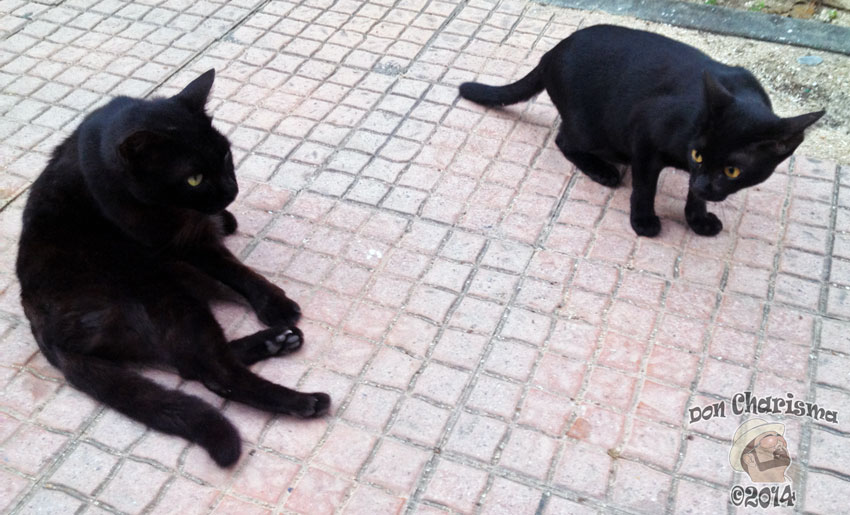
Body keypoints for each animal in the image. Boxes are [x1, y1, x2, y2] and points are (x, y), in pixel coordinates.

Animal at [16, 69, 330, 467]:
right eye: (193, 179)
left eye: (225, 155)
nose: (231, 190)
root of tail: (47, 336)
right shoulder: (185, 244)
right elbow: (236, 270)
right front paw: (275, 303)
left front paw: (226, 221)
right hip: (167, 297)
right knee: (214, 374)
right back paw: (306, 400)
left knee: (192, 362)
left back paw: (278, 340)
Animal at [459, 25, 824, 237]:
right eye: (698, 154)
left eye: (732, 170)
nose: (704, 183)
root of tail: (551, 52)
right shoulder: (645, 135)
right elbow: (645, 187)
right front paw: (644, 221)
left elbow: (692, 194)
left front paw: (697, 218)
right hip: (591, 127)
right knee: (563, 139)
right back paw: (603, 170)